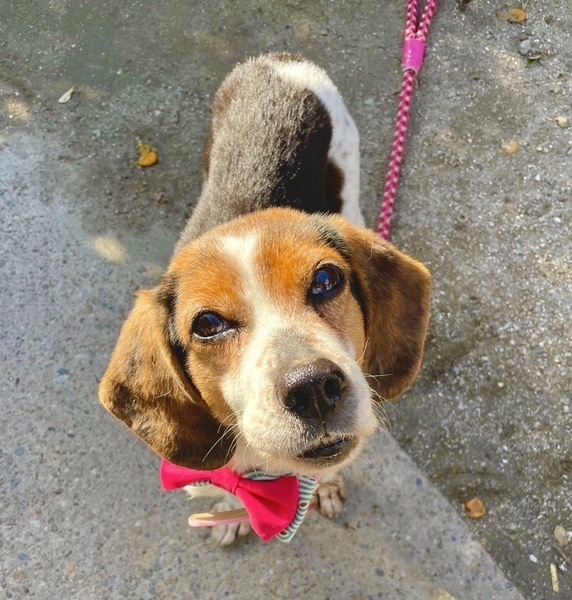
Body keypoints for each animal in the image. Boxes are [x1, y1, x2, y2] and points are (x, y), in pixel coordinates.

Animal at [99, 53, 430, 546]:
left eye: (326, 279)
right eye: (207, 324)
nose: (313, 387)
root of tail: (277, 61)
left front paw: (325, 487)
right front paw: (228, 511)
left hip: (347, 178)